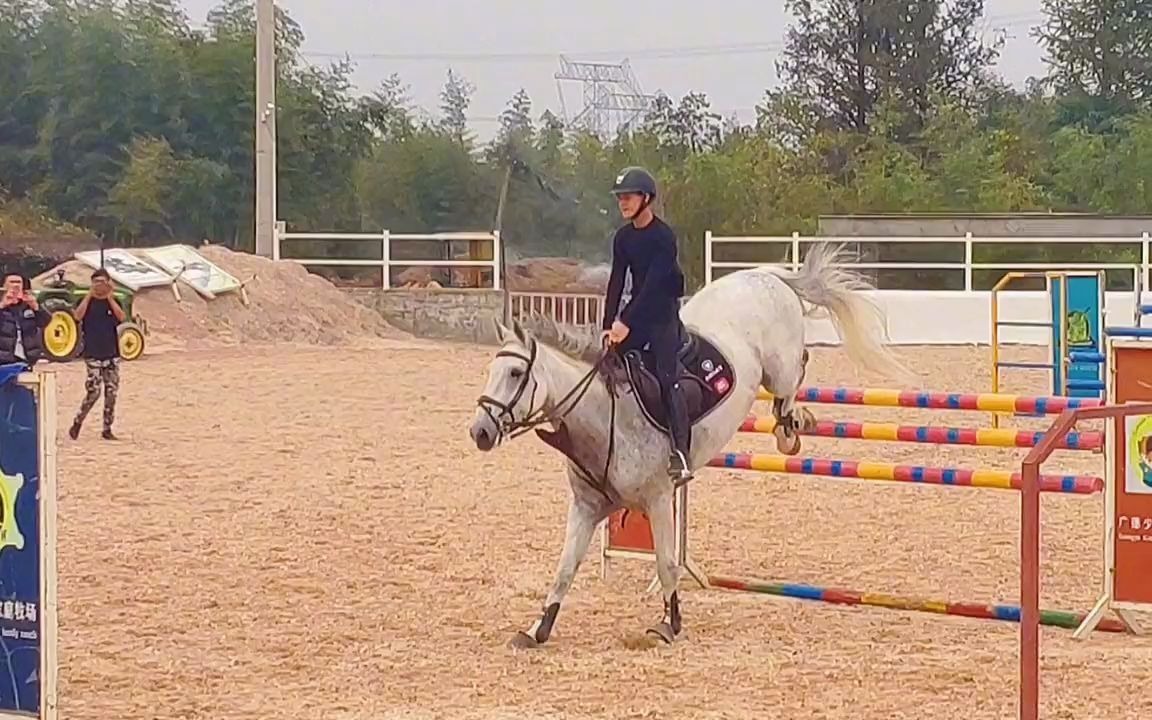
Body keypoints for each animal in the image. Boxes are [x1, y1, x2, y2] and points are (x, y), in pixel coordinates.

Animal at [465, 241, 907, 645]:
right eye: (491, 370)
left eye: (516, 373)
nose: (480, 432)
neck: (603, 412)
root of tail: (764, 275)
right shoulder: (587, 508)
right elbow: (564, 569)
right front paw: (538, 628)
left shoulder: (660, 500)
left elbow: (665, 564)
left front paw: (668, 623)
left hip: (778, 366)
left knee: (795, 375)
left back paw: (791, 428)